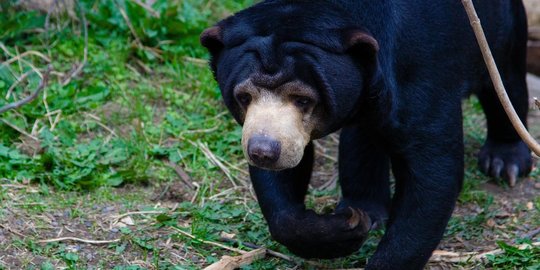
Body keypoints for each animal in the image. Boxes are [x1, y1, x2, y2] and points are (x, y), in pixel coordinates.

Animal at [199, 1, 532, 268]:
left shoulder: (419, 79)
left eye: (303, 99)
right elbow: (283, 187)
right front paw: (345, 227)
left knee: (505, 83)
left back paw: (505, 162)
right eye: (244, 96)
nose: (263, 151)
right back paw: (364, 208)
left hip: (498, 29)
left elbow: (433, 174)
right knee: (363, 136)